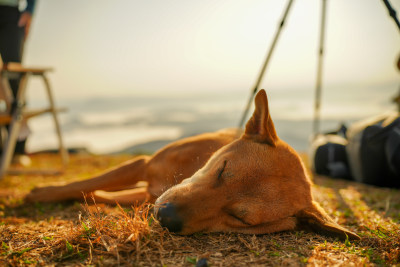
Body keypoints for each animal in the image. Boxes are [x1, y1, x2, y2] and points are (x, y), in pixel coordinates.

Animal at [26, 90, 360, 241]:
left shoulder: (148, 191)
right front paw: (42, 193)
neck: (187, 171)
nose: (166, 217)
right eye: (222, 169)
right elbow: (81, 183)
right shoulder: (143, 164)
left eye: (240, 218)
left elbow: (97, 191)